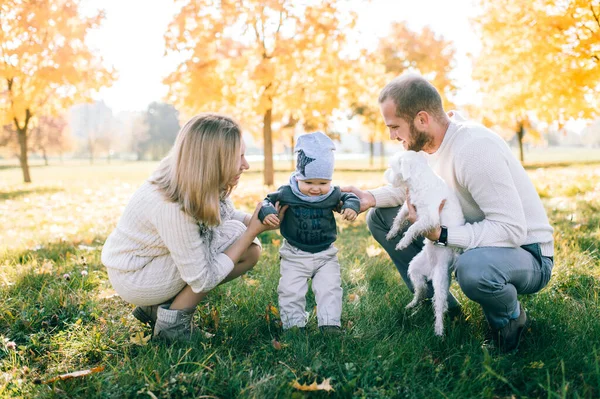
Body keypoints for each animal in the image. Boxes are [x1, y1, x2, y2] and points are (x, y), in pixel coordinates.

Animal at [384, 150, 464, 338]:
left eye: (392, 166)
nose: (385, 174)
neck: (419, 181)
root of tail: (431, 271)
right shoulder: (409, 206)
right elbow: (399, 218)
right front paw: (392, 233)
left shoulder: (430, 219)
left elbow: (413, 227)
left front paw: (403, 241)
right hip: (415, 270)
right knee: (421, 291)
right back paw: (413, 305)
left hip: (441, 280)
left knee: (440, 305)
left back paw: (439, 330)